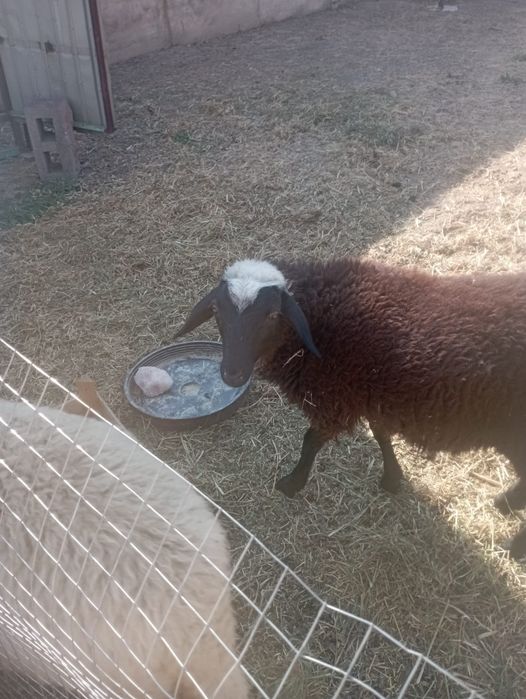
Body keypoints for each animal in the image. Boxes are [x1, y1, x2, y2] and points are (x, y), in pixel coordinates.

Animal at [177, 257, 526, 559]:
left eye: (272, 315)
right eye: (217, 311)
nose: (231, 374)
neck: (319, 320)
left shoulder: (335, 400)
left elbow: (310, 442)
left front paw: (292, 483)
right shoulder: (368, 394)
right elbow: (380, 433)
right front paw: (392, 478)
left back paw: (512, 537)